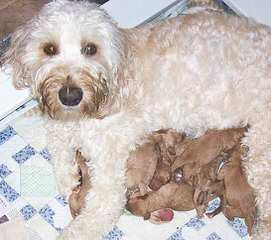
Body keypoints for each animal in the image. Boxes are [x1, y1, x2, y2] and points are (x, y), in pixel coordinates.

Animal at [2, 0, 271, 239]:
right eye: (49, 49)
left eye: (90, 48)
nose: (70, 95)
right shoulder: (60, 126)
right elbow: (58, 150)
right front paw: (69, 178)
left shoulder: (109, 179)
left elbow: (89, 222)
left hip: (260, 154)